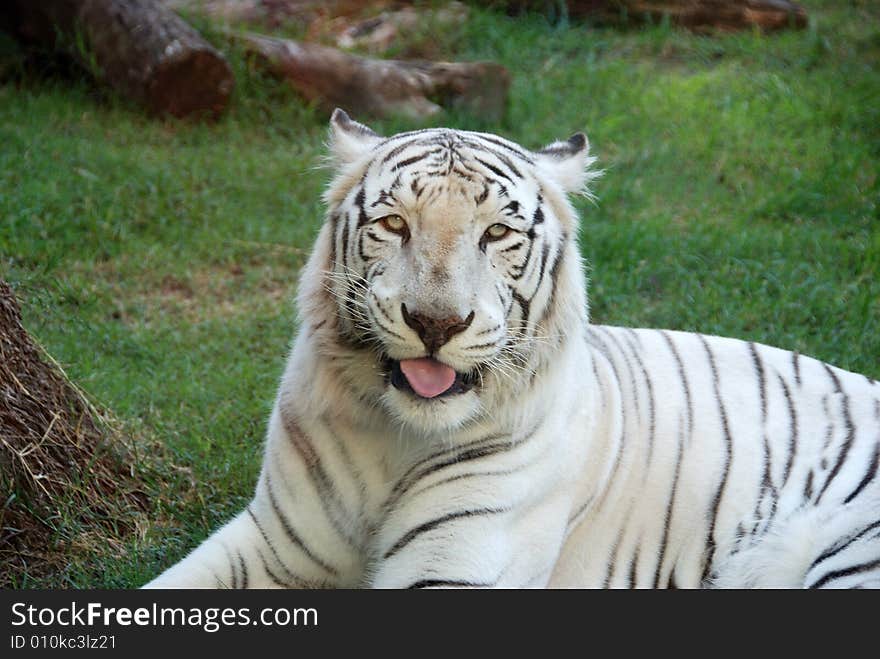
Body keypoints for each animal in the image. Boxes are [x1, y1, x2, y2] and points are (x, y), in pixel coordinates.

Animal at [146, 111, 880, 592]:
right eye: (393, 223)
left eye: (497, 233)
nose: (435, 321)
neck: (397, 437)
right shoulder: (272, 541)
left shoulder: (453, 565)